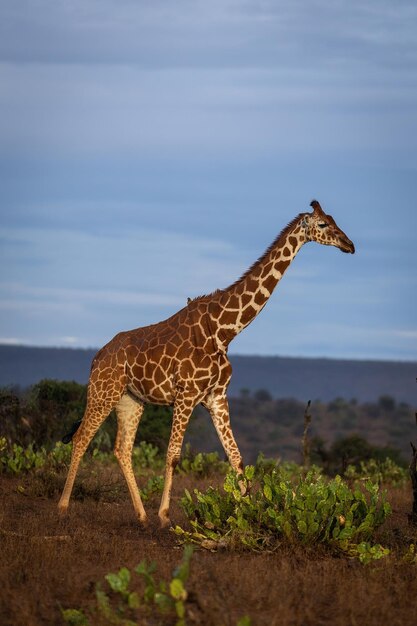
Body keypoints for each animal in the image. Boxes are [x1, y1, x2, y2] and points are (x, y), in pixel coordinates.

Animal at [57, 199, 352, 520]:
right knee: (81, 438)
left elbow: (236, 458)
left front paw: (249, 512)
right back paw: (63, 506)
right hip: (103, 392)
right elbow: (173, 456)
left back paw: (141, 515)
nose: (349, 245)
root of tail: (97, 356)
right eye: (323, 224)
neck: (224, 330)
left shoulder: (216, 397)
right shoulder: (186, 395)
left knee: (122, 450)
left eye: (334, 219)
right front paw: (164, 514)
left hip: (131, 400)